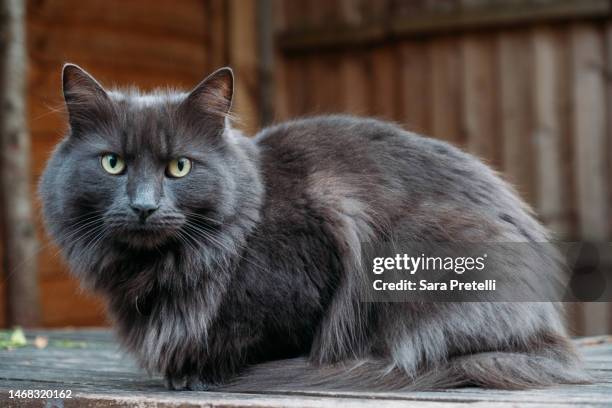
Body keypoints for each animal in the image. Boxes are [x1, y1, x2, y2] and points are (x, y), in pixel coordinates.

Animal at [39, 64, 588, 392]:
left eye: (179, 167)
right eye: (113, 164)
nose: (144, 206)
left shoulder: (314, 253)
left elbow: (266, 333)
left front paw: (199, 373)